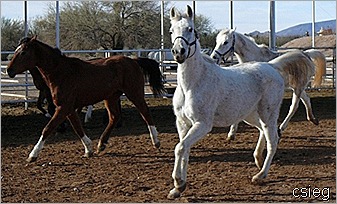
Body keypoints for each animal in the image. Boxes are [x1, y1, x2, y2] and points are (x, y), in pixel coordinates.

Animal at [7, 35, 165, 162]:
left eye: (23, 52)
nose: (9, 70)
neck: (61, 72)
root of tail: (134, 61)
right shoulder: (68, 108)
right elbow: (77, 127)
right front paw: (88, 149)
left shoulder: (63, 108)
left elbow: (47, 128)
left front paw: (32, 155)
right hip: (111, 97)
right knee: (114, 117)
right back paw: (101, 144)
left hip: (134, 93)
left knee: (145, 113)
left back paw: (156, 141)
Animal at [167, 5, 314, 199]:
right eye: (171, 31)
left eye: (190, 29)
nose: (179, 53)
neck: (193, 83)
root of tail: (272, 66)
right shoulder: (182, 123)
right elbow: (184, 149)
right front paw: (178, 188)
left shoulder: (203, 124)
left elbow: (180, 147)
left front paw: (178, 182)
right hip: (250, 115)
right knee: (263, 131)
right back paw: (258, 159)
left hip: (268, 113)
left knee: (273, 139)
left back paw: (260, 175)